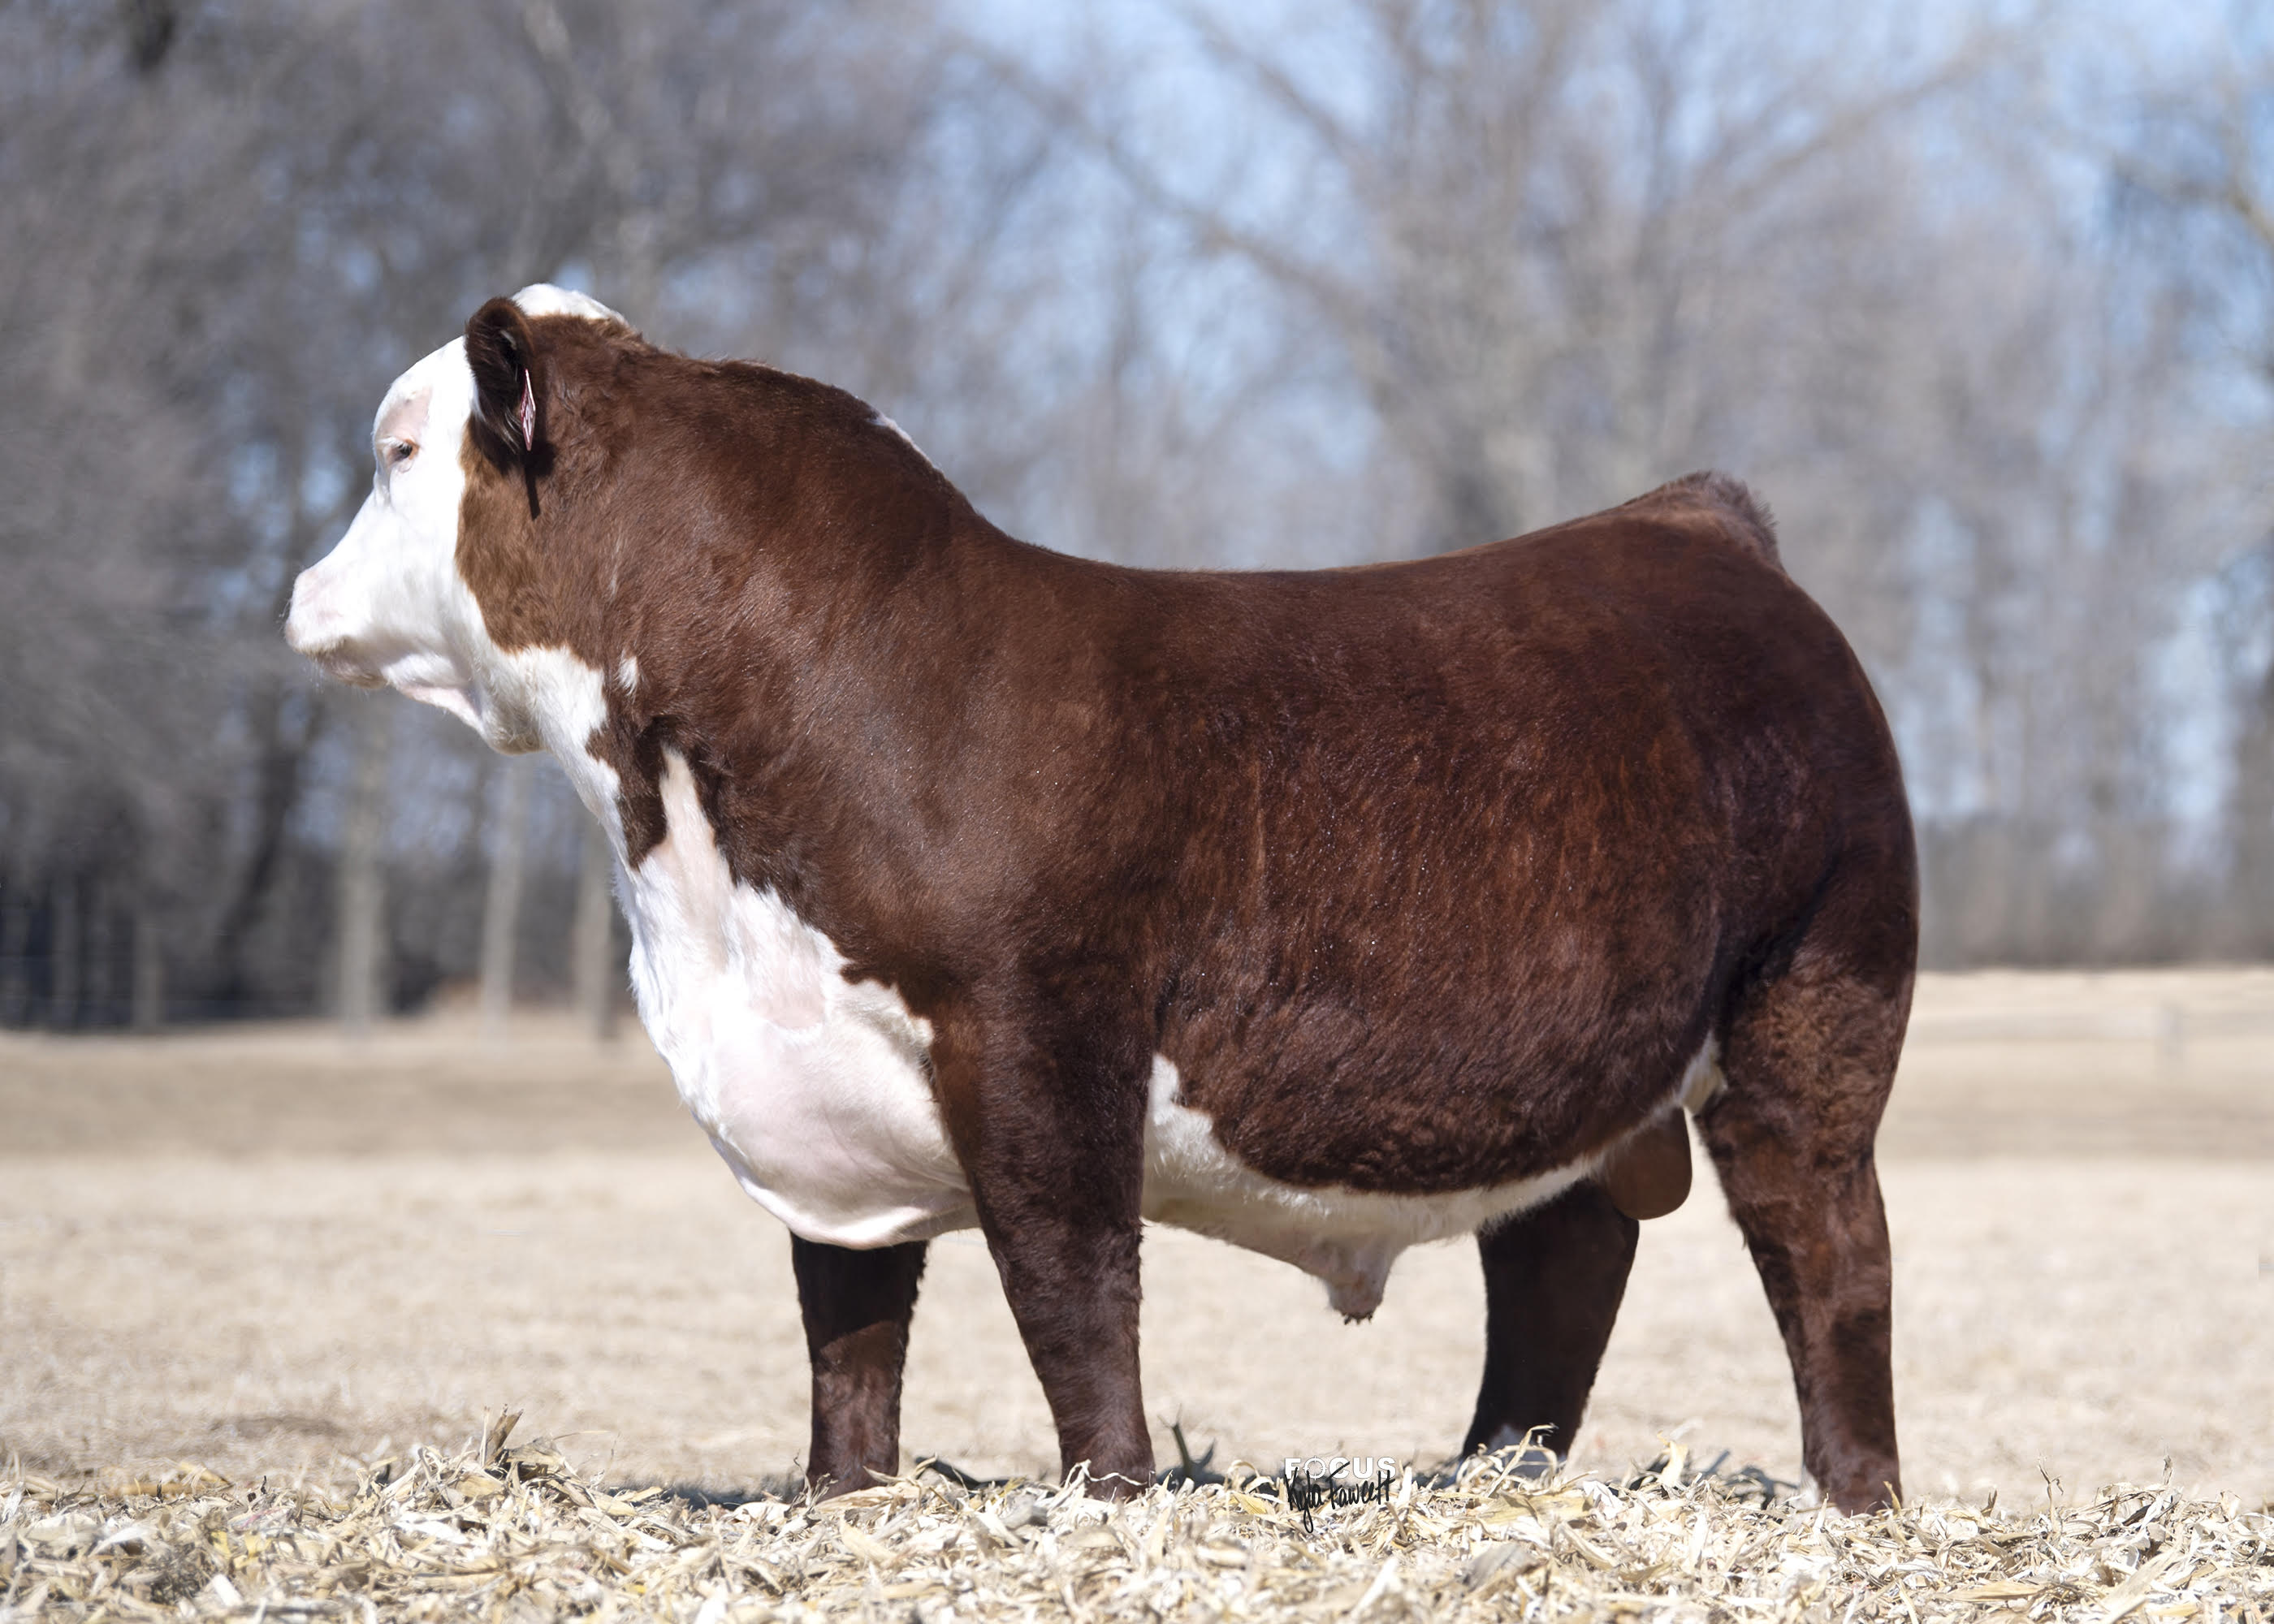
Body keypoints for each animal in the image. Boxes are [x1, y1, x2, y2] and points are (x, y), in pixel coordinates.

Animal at [285, 286, 1916, 1513]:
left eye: (397, 449)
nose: (298, 592)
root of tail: (1692, 526)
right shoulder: (817, 1083)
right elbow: (847, 1324)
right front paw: (842, 1496)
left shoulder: (1042, 1037)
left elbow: (1070, 1285)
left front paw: (1112, 1492)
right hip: (1577, 1069)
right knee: (1560, 1261)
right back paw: (1486, 1481)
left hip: (1813, 1002)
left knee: (1829, 1252)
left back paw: (1859, 1502)